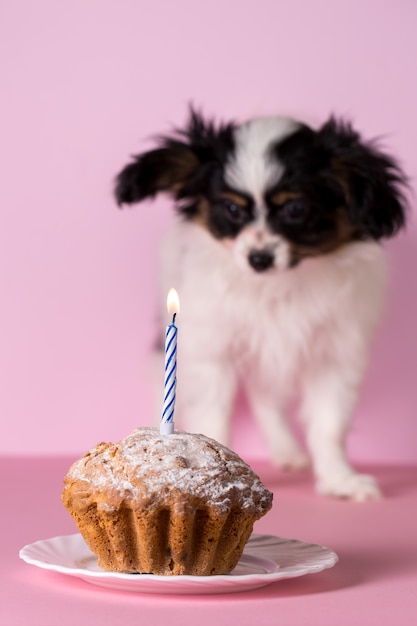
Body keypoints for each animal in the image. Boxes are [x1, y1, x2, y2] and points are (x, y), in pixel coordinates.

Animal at [114, 107, 406, 498]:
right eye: (232, 209)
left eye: (295, 209)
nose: (259, 259)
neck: (278, 285)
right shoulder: (213, 349)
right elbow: (214, 414)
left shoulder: (335, 353)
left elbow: (330, 424)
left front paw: (340, 480)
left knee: (267, 399)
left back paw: (287, 451)